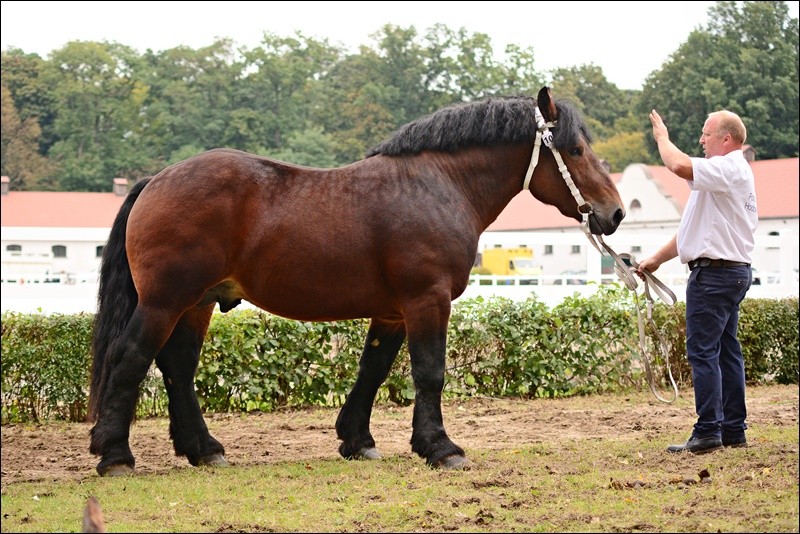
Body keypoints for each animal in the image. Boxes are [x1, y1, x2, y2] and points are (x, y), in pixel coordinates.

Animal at [87, 86, 624, 476]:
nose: (615, 213)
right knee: (131, 358)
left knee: (177, 365)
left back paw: (204, 448)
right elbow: (429, 373)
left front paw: (357, 440)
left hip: (195, 303)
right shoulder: (427, 301)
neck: (439, 186)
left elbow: (374, 369)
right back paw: (115, 455)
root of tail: (156, 180)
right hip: (165, 301)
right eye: (575, 149)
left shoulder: (392, 311)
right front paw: (441, 448)